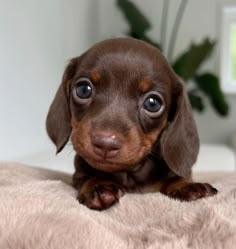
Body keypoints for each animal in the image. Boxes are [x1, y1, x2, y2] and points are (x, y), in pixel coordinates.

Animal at [46, 37, 218, 210]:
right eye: (83, 90)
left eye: (152, 103)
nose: (106, 144)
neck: (128, 174)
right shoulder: (78, 173)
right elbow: (87, 176)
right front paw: (97, 184)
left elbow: (175, 177)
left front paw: (184, 185)